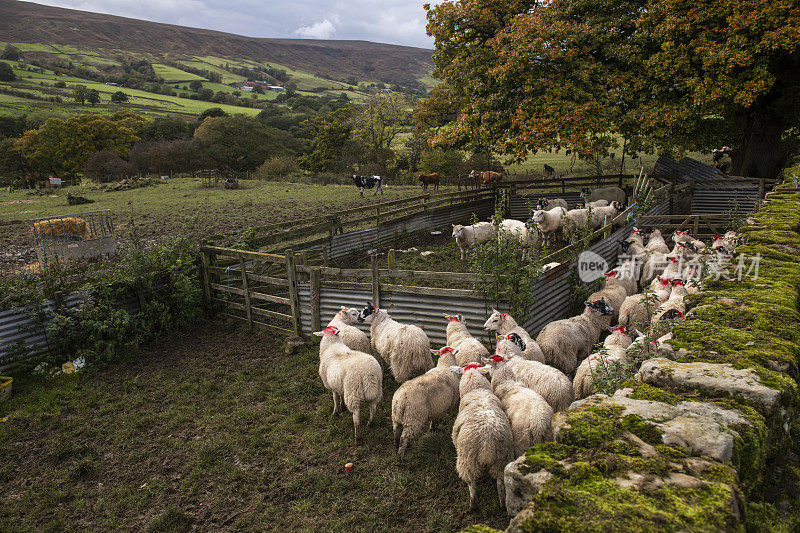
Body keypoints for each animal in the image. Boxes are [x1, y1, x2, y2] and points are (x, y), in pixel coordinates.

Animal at [450, 364, 512, 510]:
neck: (476, 389)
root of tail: (487, 443)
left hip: (468, 460)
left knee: (472, 483)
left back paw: (472, 505)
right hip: (501, 459)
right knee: (500, 482)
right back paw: (502, 503)